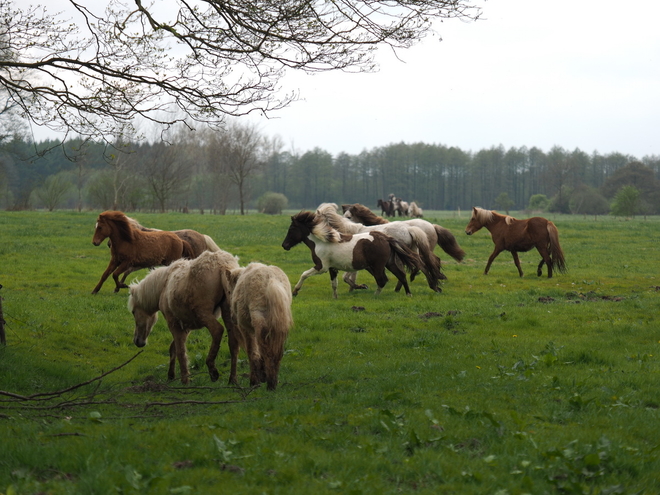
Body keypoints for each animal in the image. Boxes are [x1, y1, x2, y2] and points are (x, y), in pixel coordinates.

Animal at [127, 250, 241, 386]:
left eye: (133, 312)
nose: (138, 341)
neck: (164, 284)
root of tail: (223, 265)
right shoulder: (186, 326)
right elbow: (174, 348)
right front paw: (171, 375)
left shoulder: (173, 323)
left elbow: (181, 351)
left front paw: (184, 380)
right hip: (227, 314)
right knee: (233, 344)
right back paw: (232, 379)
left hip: (204, 314)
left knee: (217, 331)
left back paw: (212, 370)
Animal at [280, 210, 426, 298]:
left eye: (292, 228)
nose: (284, 245)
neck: (320, 242)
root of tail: (385, 238)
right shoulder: (332, 268)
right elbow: (334, 284)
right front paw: (335, 298)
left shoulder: (321, 267)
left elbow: (304, 274)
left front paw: (295, 291)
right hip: (389, 263)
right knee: (401, 275)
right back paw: (408, 294)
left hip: (378, 266)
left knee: (382, 280)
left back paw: (375, 295)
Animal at [314, 202, 444, 292]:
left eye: (350, 216)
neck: (350, 231)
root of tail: (409, 229)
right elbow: (351, 276)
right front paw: (356, 288)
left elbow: (347, 277)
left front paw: (360, 287)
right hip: (411, 251)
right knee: (421, 265)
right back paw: (434, 286)